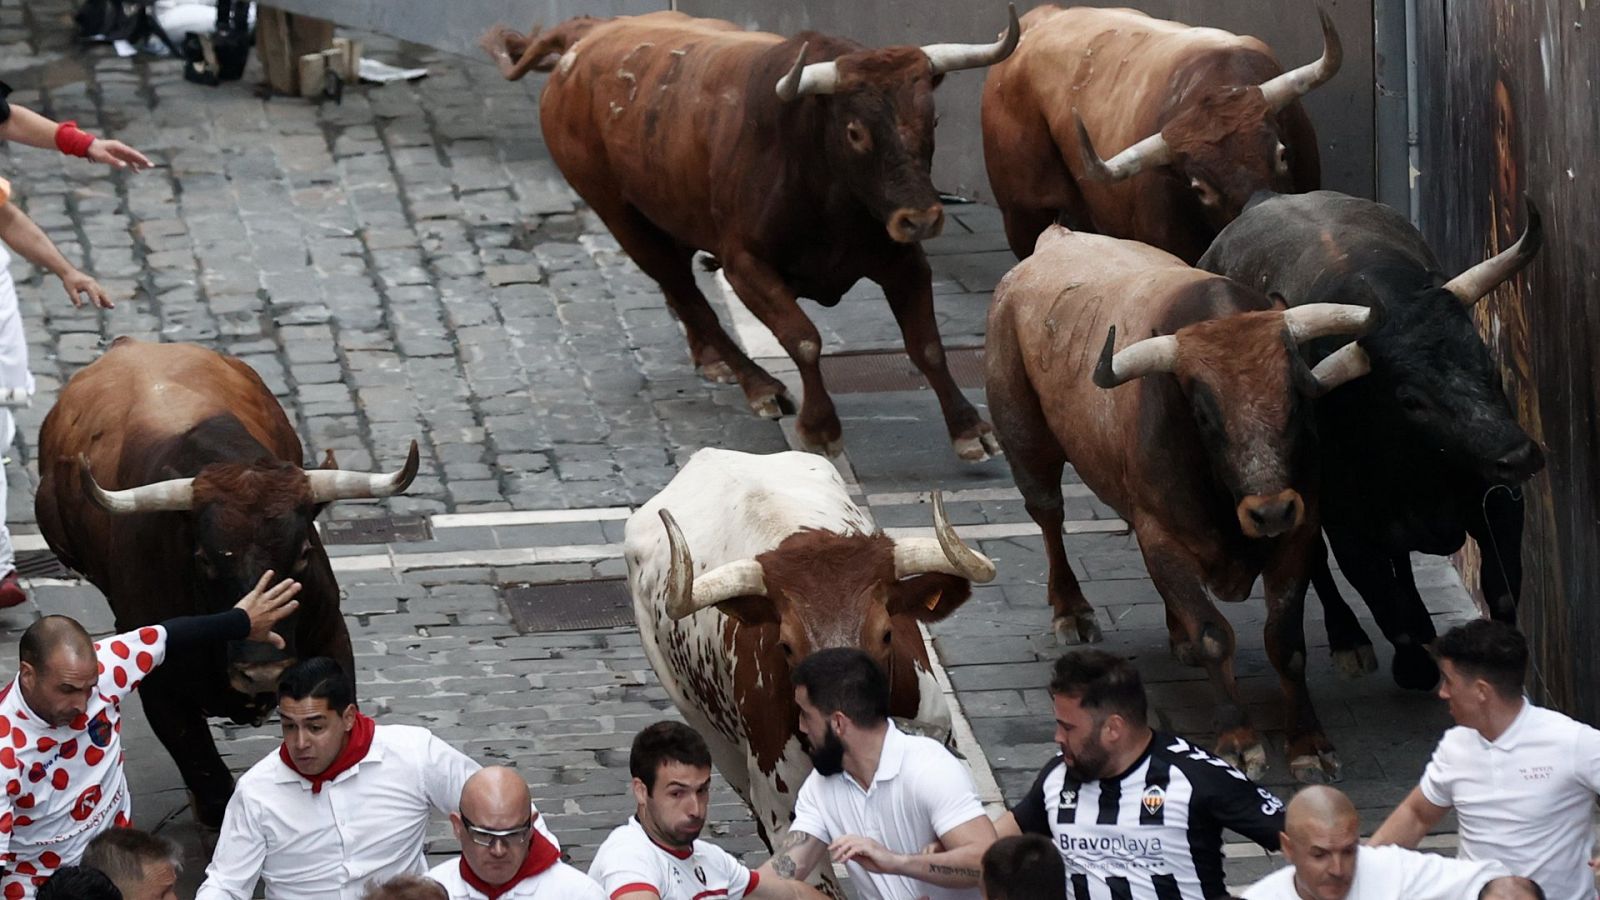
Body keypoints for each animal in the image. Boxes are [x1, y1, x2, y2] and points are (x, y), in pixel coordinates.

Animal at [35, 339, 422, 826]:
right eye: (204, 559)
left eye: (303, 552)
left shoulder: (331, 640)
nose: (262, 671)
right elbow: (212, 783)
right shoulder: (163, 693)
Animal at [480, 12, 1017, 461]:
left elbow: (927, 345)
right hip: (620, 216)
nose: (921, 218)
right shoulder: (744, 264)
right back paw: (757, 385)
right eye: (855, 132)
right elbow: (804, 339)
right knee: (684, 292)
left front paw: (970, 430)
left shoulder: (903, 260)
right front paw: (819, 427)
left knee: (680, 291)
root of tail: (587, 34)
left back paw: (710, 359)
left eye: (932, 120)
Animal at [985, 225, 1376, 778]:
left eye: (1297, 401)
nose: (1270, 511)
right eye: (1205, 416)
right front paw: (1239, 737)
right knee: (1048, 515)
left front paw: (1308, 742)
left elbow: (1286, 642)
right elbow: (1214, 634)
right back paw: (1071, 610)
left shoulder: (1298, 534)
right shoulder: (1164, 535)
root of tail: (1054, 238)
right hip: (1024, 437)